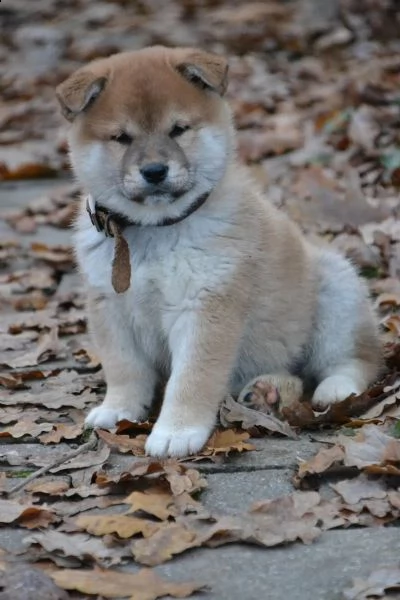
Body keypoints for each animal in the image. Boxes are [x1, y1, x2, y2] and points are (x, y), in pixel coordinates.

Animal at [57, 47, 382, 458]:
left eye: (178, 129)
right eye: (121, 137)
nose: (154, 170)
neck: (154, 230)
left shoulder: (205, 306)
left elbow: (192, 378)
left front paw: (177, 431)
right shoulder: (111, 309)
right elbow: (124, 368)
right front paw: (118, 409)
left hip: (337, 293)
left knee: (355, 361)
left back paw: (335, 388)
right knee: (296, 375)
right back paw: (267, 391)